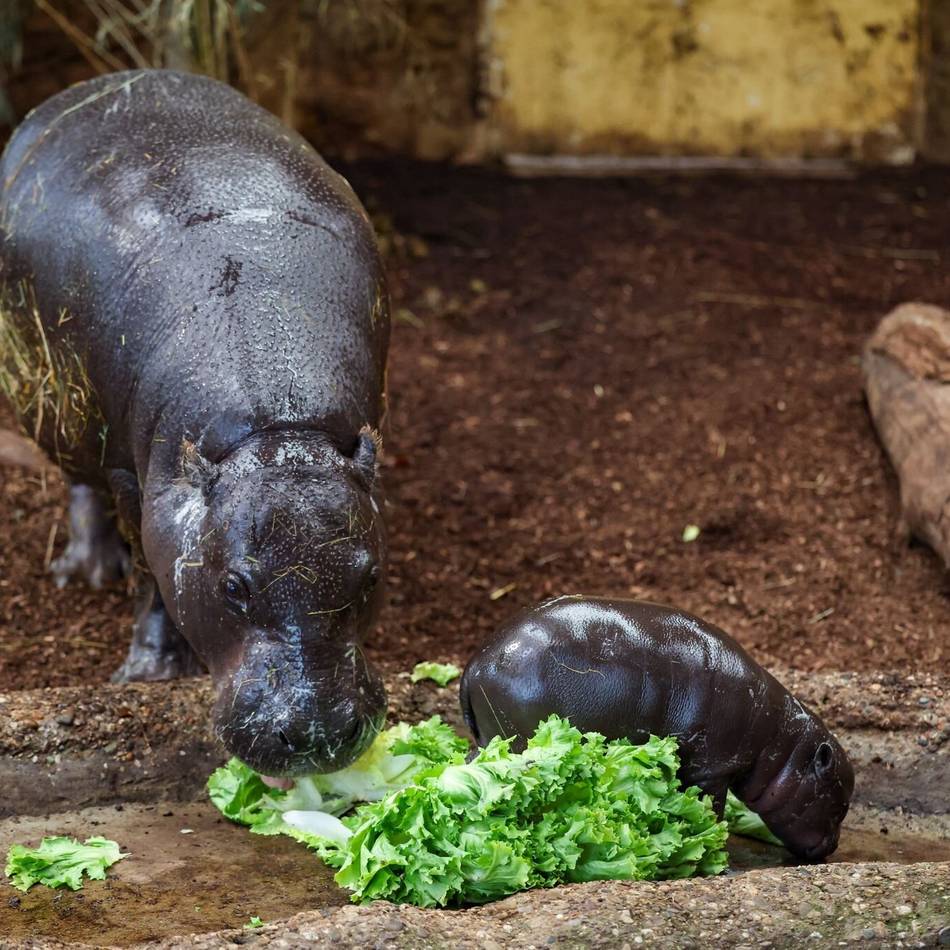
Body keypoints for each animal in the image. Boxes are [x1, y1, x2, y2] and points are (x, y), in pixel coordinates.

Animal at [0, 70, 390, 777]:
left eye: (370, 575)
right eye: (233, 584)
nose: (316, 733)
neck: (277, 433)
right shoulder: (135, 480)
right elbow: (156, 578)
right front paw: (150, 674)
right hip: (63, 414)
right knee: (79, 484)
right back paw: (89, 570)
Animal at [460, 595, 854, 860]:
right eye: (837, 803)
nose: (833, 847)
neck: (779, 742)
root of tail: (475, 664)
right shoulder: (713, 769)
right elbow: (712, 809)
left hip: (488, 741)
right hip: (522, 744)